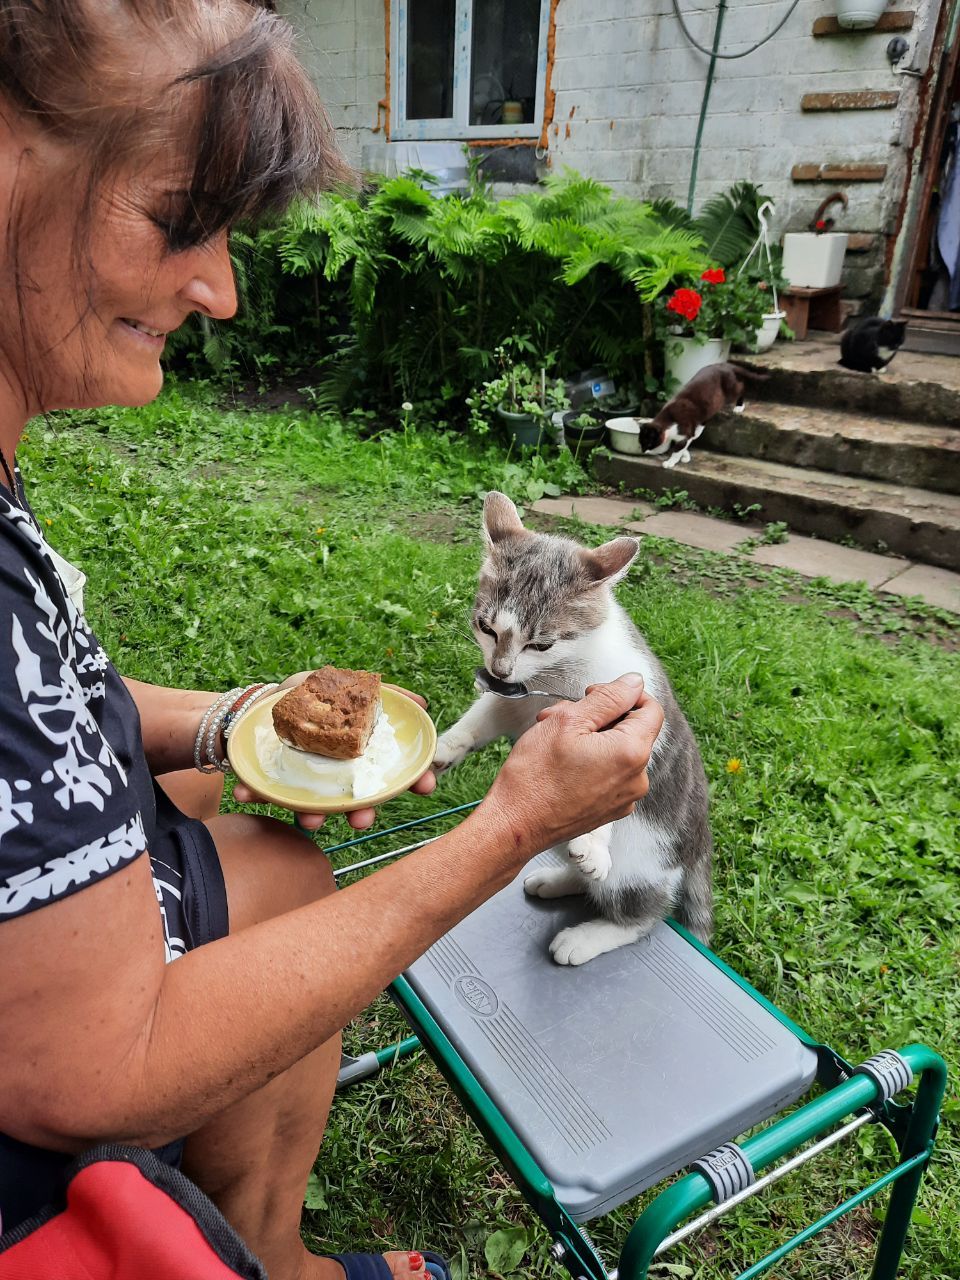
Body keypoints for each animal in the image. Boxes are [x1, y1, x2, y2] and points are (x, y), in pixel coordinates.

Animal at [435, 494, 716, 962]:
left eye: (541, 643)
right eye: (486, 627)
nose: (499, 670)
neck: (554, 679)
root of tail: (699, 840)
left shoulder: (632, 721)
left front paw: (595, 842)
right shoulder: (513, 700)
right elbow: (483, 715)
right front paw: (445, 745)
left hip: (644, 864)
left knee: (643, 913)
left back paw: (590, 933)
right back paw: (558, 879)